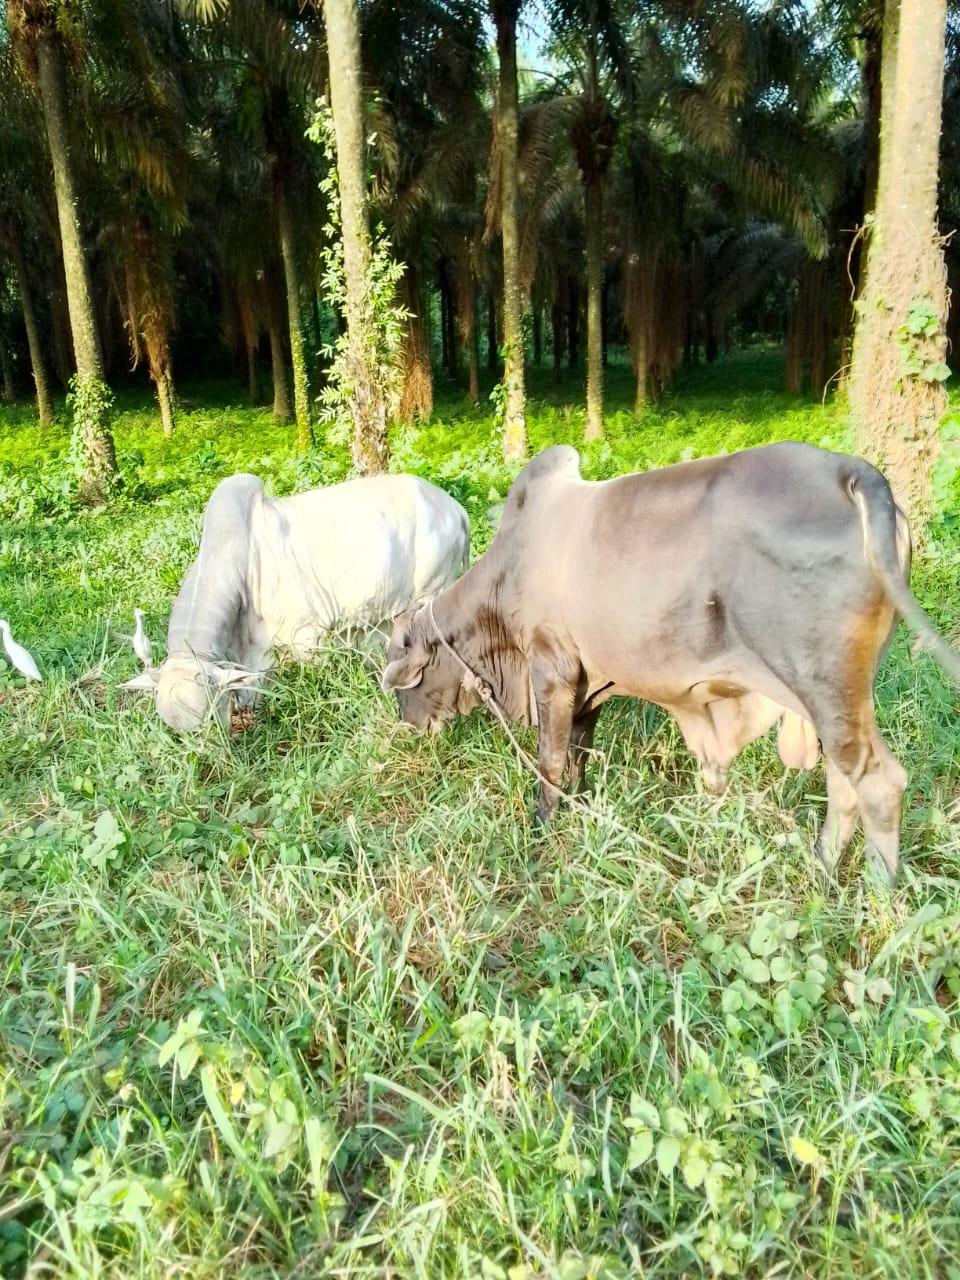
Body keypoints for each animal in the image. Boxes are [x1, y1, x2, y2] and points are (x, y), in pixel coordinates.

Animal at [382, 442, 960, 884]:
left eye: (404, 683)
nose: (409, 728)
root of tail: (854, 473)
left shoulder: (552, 670)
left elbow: (550, 762)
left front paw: (541, 831)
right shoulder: (588, 686)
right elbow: (577, 757)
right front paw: (578, 808)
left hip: (826, 687)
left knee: (879, 784)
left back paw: (876, 892)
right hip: (836, 699)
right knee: (843, 783)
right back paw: (821, 870)